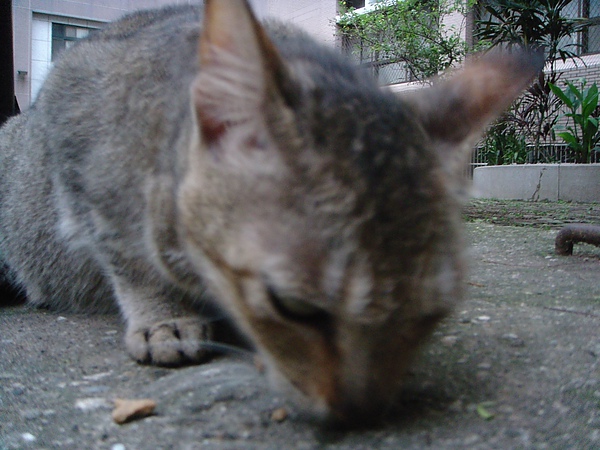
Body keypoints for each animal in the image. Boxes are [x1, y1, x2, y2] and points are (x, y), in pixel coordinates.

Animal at [0, 0, 540, 424]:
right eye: (295, 306)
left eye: (430, 314)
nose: (361, 412)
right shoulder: (80, 154)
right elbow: (131, 260)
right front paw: (163, 316)